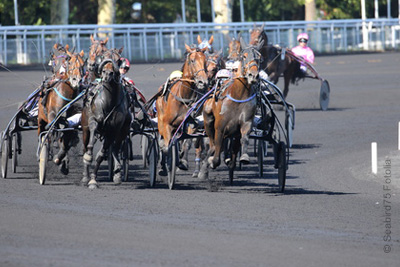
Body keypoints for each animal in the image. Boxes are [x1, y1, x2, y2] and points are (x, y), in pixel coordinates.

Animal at [37, 45, 85, 176]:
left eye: (83, 64)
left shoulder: (72, 118)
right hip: (40, 120)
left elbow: (67, 138)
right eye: (70, 62)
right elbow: (54, 132)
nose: (76, 80)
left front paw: (61, 161)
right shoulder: (53, 116)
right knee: (43, 133)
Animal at [81, 47, 131, 188]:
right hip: (85, 128)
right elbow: (90, 147)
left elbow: (101, 154)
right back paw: (85, 176)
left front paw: (93, 180)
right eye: (102, 57)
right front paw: (88, 159)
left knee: (115, 147)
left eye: (118, 59)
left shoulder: (113, 130)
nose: (107, 73)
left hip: (122, 131)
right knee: (85, 145)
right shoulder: (93, 121)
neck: (109, 101)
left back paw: (117, 173)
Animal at [155, 44, 208, 176]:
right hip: (160, 121)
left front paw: (182, 161)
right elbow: (166, 146)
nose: (203, 82)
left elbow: (186, 142)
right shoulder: (167, 125)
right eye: (192, 60)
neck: (183, 95)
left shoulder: (188, 124)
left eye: (205, 61)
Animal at [198, 37, 264, 184]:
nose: (253, 75)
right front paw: (211, 162)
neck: (239, 95)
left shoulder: (246, 122)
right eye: (244, 56)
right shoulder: (220, 127)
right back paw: (204, 169)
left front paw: (243, 157)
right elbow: (216, 151)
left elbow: (244, 138)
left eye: (259, 58)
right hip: (208, 120)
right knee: (213, 145)